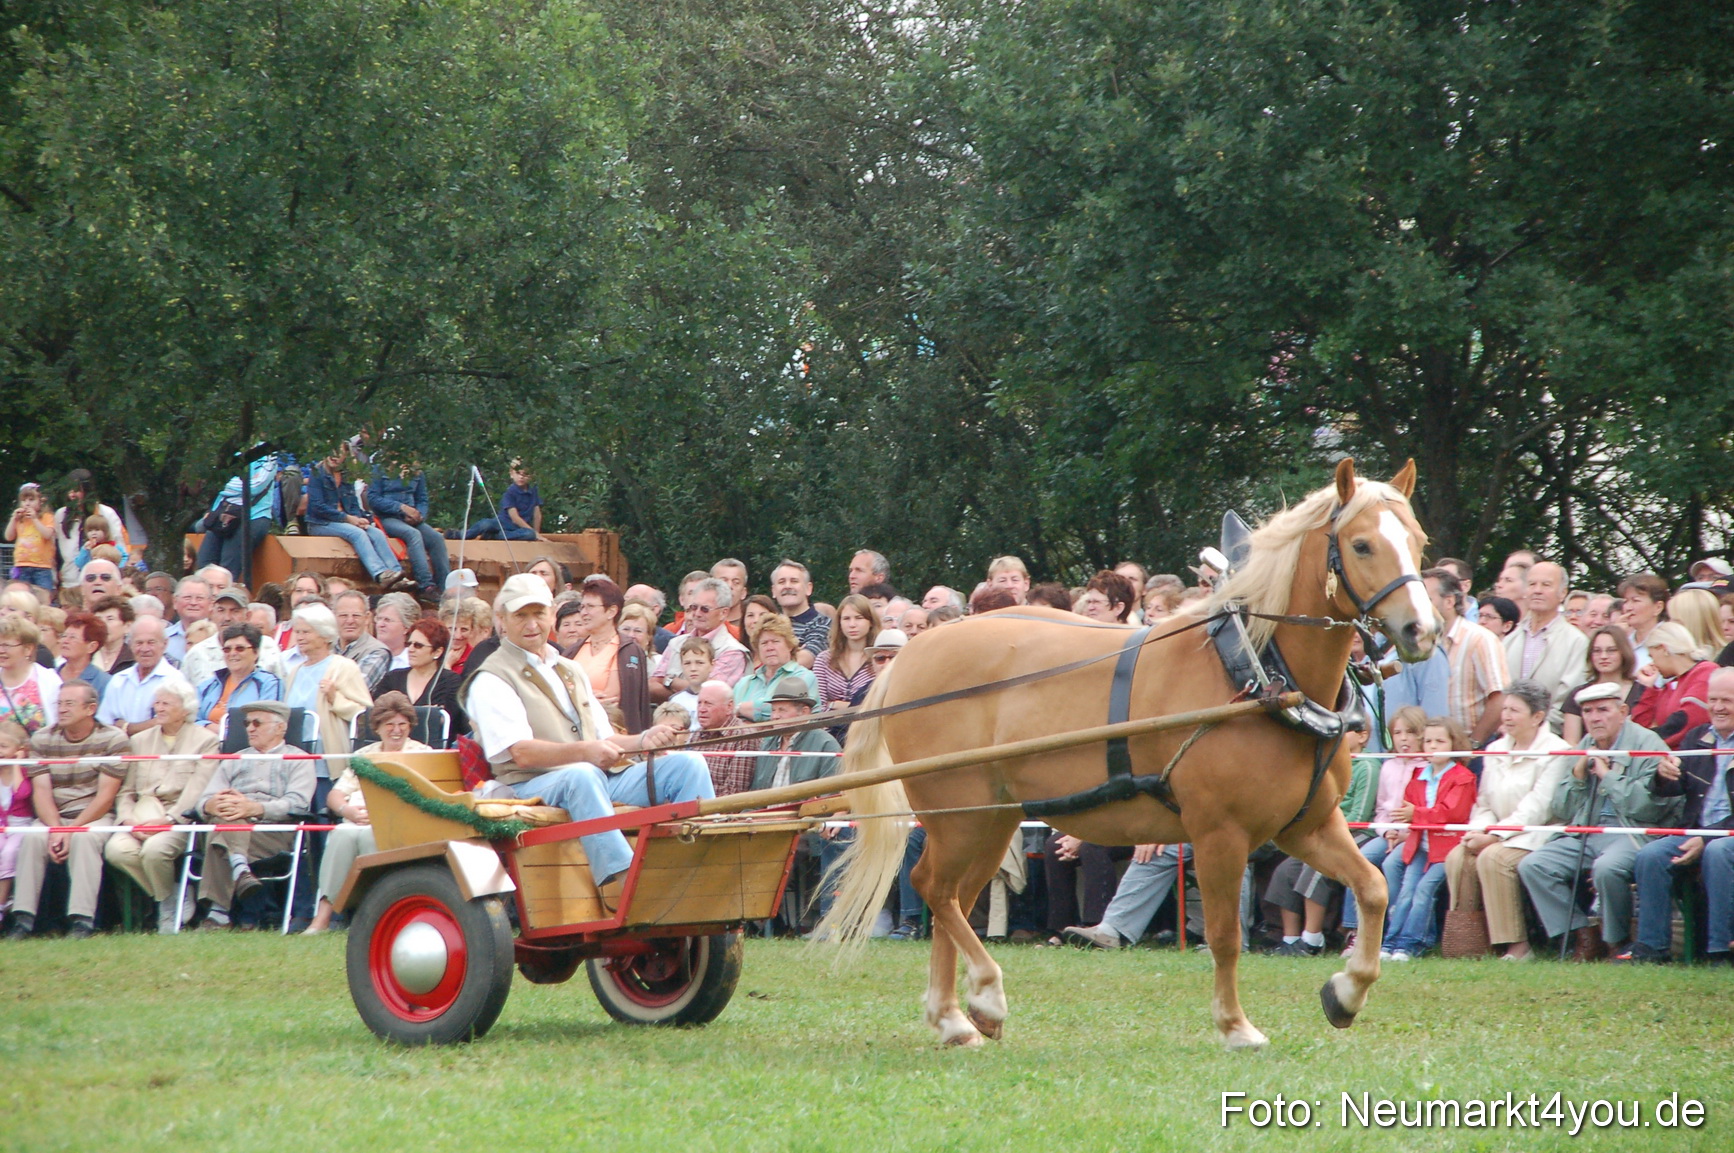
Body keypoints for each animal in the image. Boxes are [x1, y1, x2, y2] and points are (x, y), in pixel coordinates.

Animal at [815, 458, 1441, 1049]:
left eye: (1417, 539)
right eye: (1362, 544)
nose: (1422, 630)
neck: (1256, 672)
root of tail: (913, 654)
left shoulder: (1305, 825)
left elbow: (1374, 889)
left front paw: (1346, 993)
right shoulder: (1220, 833)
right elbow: (1225, 935)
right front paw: (1235, 1026)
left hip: (988, 819)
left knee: (952, 898)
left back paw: (954, 1018)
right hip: (961, 815)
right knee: (935, 889)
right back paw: (984, 995)